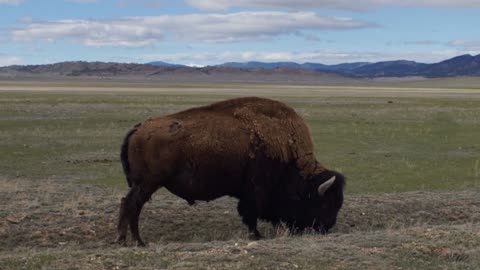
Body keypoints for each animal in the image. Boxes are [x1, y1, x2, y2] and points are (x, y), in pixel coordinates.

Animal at [118, 97, 346, 247]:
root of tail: (139, 128)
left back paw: (124, 240)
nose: (327, 227)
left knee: (127, 203)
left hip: (142, 184)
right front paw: (257, 236)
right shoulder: (255, 193)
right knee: (132, 205)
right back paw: (137, 242)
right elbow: (250, 215)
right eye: (325, 203)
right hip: (147, 184)